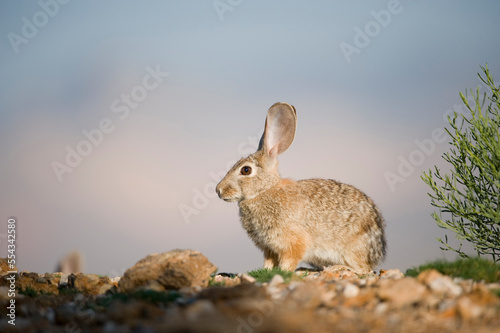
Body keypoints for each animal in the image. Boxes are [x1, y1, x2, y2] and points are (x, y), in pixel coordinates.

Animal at [216, 102, 386, 272]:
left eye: (246, 170)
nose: (219, 190)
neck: (264, 190)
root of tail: (378, 250)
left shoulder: (293, 241)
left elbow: (289, 260)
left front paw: (284, 271)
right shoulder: (269, 248)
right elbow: (269, 262)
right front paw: (266, 270)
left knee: (363, 269)